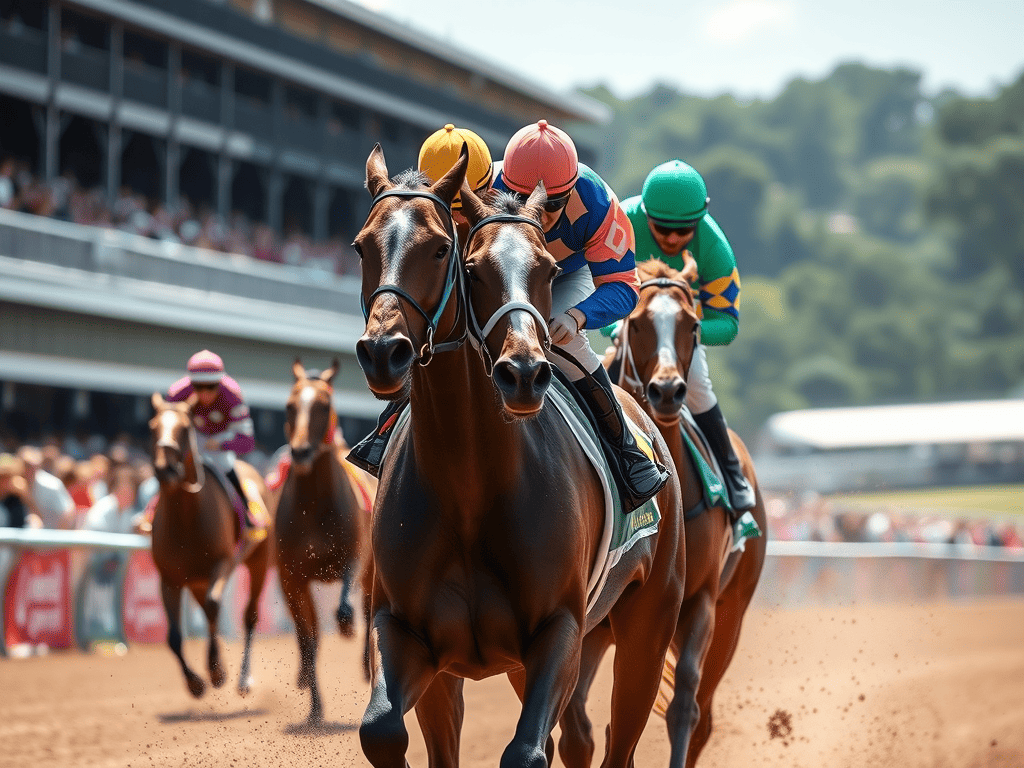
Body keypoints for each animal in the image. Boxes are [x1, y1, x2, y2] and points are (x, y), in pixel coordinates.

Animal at [148, 393, 271, 698]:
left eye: (184, 428)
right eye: (153, 426)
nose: (165, 468)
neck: (186, 518)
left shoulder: (223, 563)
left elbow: (216, 605)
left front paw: (215, 671)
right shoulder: (169, 578)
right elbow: (173, 636)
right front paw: (195, 683)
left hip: (259, 560)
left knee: (249, 616)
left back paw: (243, 678)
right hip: (196, 581)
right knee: (206, 612)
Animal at [272, 358, 370, 726]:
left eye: (324, 405)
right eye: (289, 405)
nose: (300, 452)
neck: (313, 504)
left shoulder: (355, 556)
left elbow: (343, 607)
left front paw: (346, 627)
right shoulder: (292, 576)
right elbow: (308, 637)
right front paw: (314, 707)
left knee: (368, 609)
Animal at [352, 143, 686, 768]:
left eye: (440, 248)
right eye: (362, 245)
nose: (385, 352)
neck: (467, 485)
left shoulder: (560, 631)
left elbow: (526, 751)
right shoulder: (408, 633)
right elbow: (382, 729)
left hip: (648, 626)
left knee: (620, 738)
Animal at [560, 258, 768, 767]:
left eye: (692, 325)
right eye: (635, 323)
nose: (668, 391)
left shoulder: (699, 603)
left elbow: (681, 709)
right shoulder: (598, 620)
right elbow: (585, 724)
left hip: (732, 615)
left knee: (701, 714)